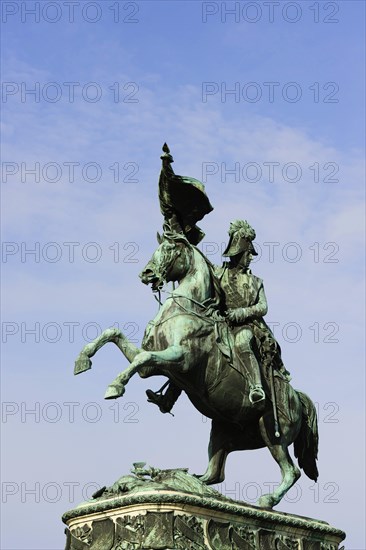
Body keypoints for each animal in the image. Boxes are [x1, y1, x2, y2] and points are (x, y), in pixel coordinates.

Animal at [74, 232, 318, 508]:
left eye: (170, 249)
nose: (146, 273)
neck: (187, 310)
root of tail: (298, 398)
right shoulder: (157, 367)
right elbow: (114, 334)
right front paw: (83, 359)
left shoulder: (181, 359)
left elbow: (143, 356)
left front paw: (115, 387)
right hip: (222, 433)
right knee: (214, 474)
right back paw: (178, 478)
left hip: (272, 433)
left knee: (291, 471)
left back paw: (267, 498)